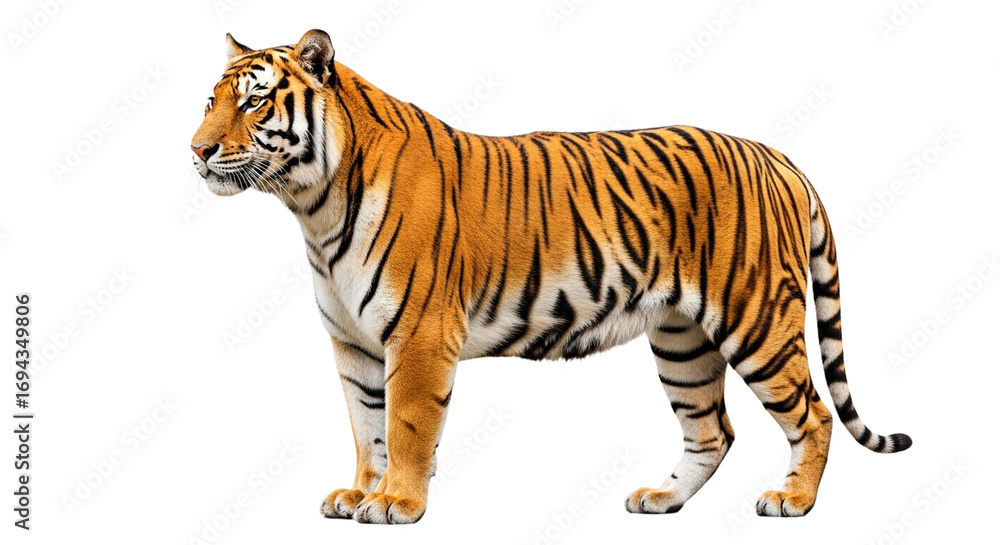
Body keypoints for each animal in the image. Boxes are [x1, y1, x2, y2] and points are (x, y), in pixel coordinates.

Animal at [190, 29, 911, 524]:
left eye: (255, 103)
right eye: (210, 101)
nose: (196, 149)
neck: (313, 204)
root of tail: (776, 155)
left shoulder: (418, 335)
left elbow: (405, 426)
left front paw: (397, 502)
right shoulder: (354, 343)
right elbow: (367, 427)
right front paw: (360, 492)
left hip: (756, 318)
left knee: (814, 413)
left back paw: (792, 499)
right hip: (682, 339)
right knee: (713, 429)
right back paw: (661, 498)